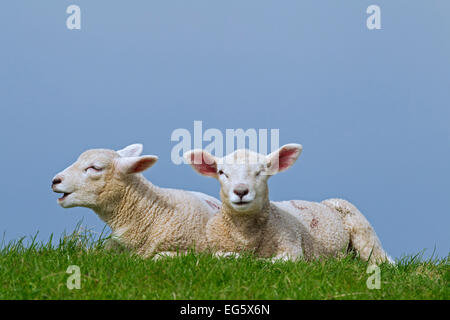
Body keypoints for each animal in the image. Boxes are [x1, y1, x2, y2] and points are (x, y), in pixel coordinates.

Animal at [185, 144, 392, 264]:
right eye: (221, 172)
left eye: (262, 171)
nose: (241, 191)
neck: (246, 236)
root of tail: (326, 202)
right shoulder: (210, 247)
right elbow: (219, 255)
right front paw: (235, 257)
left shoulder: (291, 247)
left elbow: (268, 262)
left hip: (364, 232)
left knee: (382, 260)